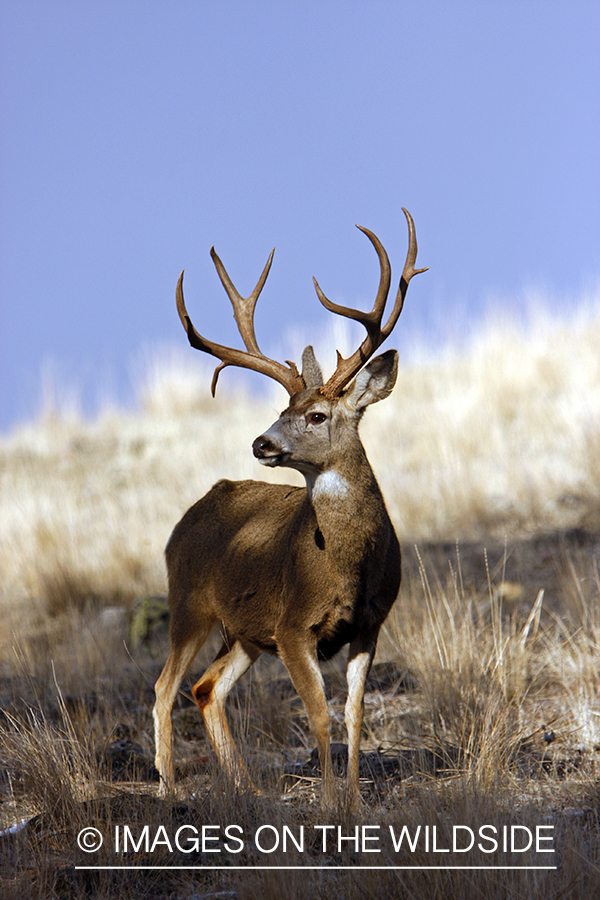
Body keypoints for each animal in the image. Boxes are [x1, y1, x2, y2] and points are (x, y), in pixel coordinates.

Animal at [153, 208, 427, 806]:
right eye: (282, 409)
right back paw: (168, 788)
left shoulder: (370, 622)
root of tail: (182, 522)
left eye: (317, 414)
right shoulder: (293, 623)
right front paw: (327, 801)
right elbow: (319, 715)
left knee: (205, 688)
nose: (261, 442)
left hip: (243, 631)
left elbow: (353, 714)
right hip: (189, 602)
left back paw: (245, 788)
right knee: (165, 686)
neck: (347, 564)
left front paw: (353, 799)